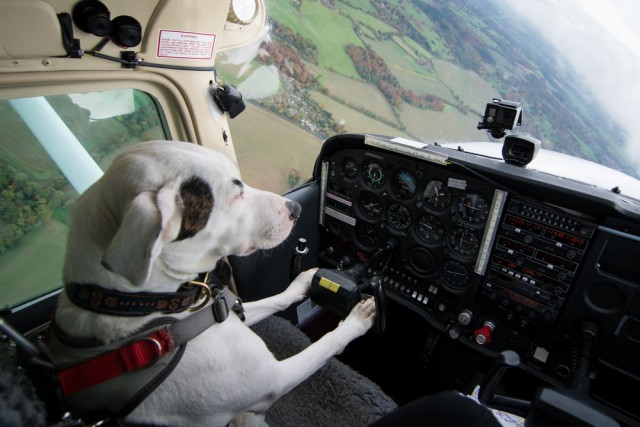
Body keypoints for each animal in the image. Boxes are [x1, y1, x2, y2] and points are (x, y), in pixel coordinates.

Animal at [51, 141, 380, 427]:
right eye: (235, 195)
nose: (296, 210)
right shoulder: (274, 378)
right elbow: (326, 344)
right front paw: (355, 321)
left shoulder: (227, 310)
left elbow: (274, 299)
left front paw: (302, 282)